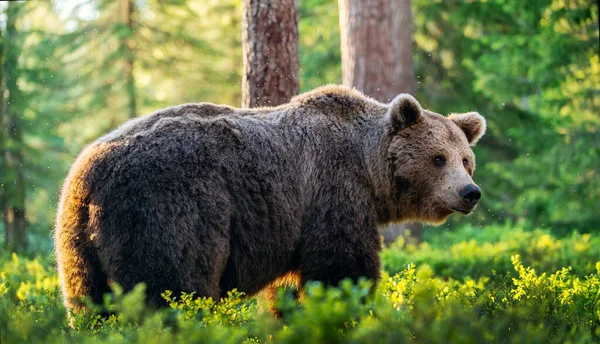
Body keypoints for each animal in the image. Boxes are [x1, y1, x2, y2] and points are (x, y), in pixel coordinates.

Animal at [52, 84, 488, 312]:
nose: (470, 192)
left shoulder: (296, 222)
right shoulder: (332, 192)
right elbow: (341, 268)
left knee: (87, 301)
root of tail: (86, 178)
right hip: (167, 211)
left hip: (76, 243)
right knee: (170, 288)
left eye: (466, 160)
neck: (368, 168)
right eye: (438, 158)